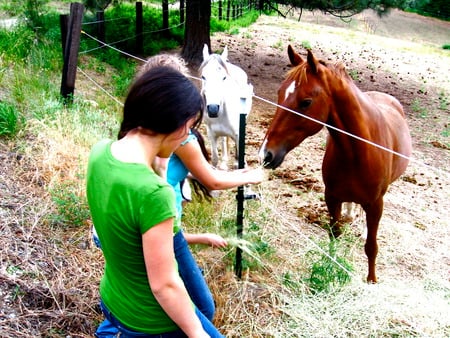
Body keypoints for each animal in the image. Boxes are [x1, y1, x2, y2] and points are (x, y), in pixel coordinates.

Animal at [258, 45, 414, 282]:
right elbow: (334, 233)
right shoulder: (332, 197)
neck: (358, 153)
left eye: (306, 102)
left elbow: (371, 247)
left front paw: (371, 280)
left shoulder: (375, 204)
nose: (266, 154)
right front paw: (331, 264)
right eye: (279, 94)